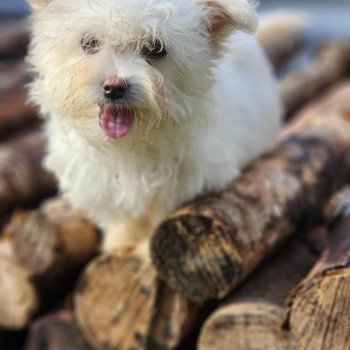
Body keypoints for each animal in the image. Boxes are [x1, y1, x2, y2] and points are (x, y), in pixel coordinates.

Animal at [26, 0, 282, 252]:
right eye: (89, 43)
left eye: (156, 49)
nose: (114, 87)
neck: (128, 144)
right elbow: (122, 217)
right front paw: (120, 240)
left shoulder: (183, 181)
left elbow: (159, 215)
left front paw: (144, 248)